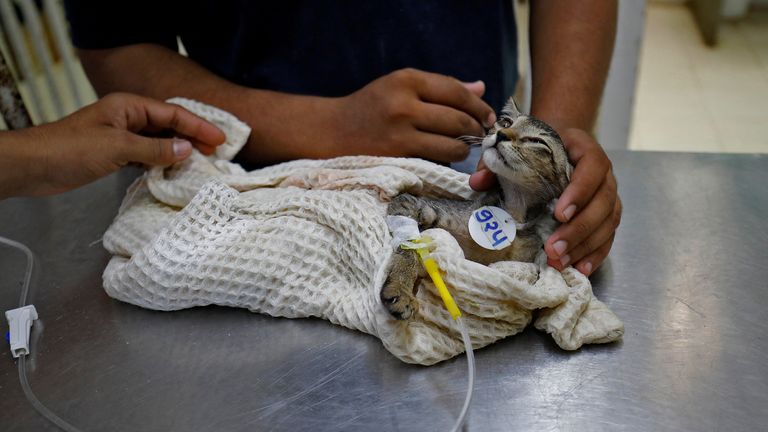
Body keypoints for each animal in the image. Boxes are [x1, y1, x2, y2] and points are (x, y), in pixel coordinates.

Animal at [382, 98, 568, 320]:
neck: (512, 212)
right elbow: (410, 244)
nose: (501, 134)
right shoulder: (415, 209)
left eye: (537, 142)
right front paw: (400, 287)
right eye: (506, 122)